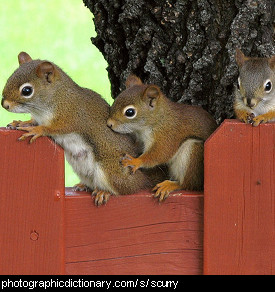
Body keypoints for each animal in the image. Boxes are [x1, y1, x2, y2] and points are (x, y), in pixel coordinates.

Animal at [1, 52, 167, 205]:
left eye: (27, 91)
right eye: (9, 78)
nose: (5, 105)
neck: (56, 98)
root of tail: (142, 180)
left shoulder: (71, 116)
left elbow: (56, 128)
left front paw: (37, 130)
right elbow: (33, 121)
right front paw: (21, 122)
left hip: (110, 171)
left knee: (124, 190)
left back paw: (104, 192)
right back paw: (83, 186)